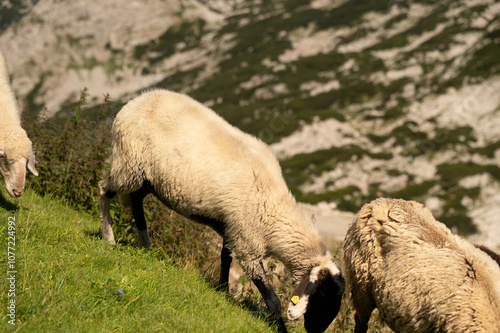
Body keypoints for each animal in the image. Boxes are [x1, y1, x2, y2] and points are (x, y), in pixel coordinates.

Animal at [99, 88, 346, 332]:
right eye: (323, 294)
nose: (315, 331)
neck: (273, 207)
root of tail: (138, 98)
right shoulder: (247, 245)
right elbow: (272, 299)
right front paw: (281, 328)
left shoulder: (232, 230)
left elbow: (225, 258)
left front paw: (223, 291)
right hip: (129, 163)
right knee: (104, 189)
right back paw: (108, 238)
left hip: (146, 177)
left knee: (135, 199)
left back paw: (145, 245)